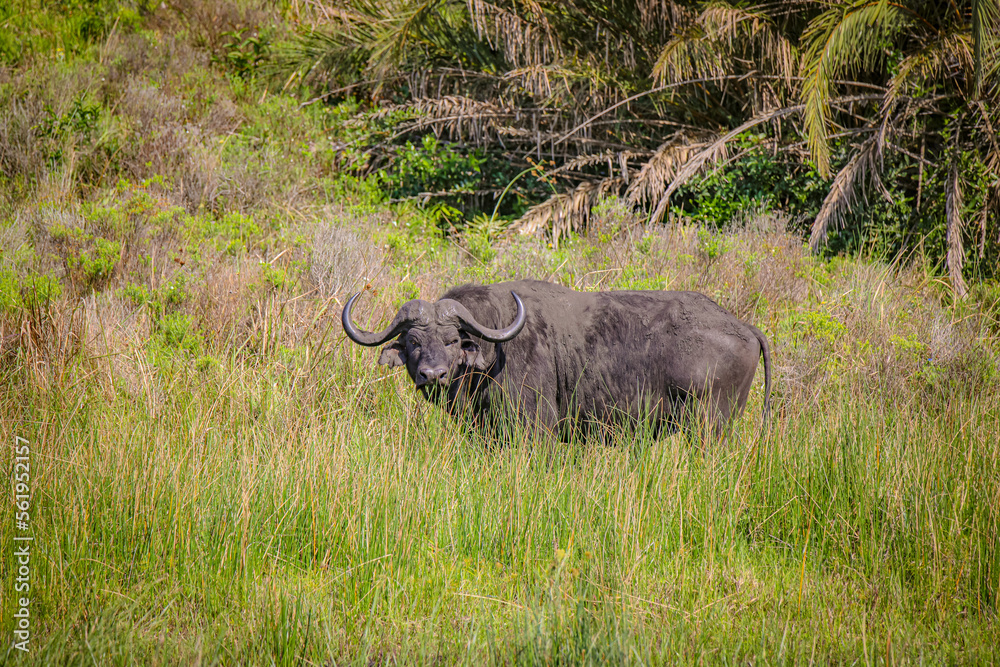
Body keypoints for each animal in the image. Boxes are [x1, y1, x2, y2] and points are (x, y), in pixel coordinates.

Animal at [342, 280, 771, 439]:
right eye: (414, 342)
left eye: (451, 340)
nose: (433, 374)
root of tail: (743, 326)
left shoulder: (539, 427)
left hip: (710, 424)